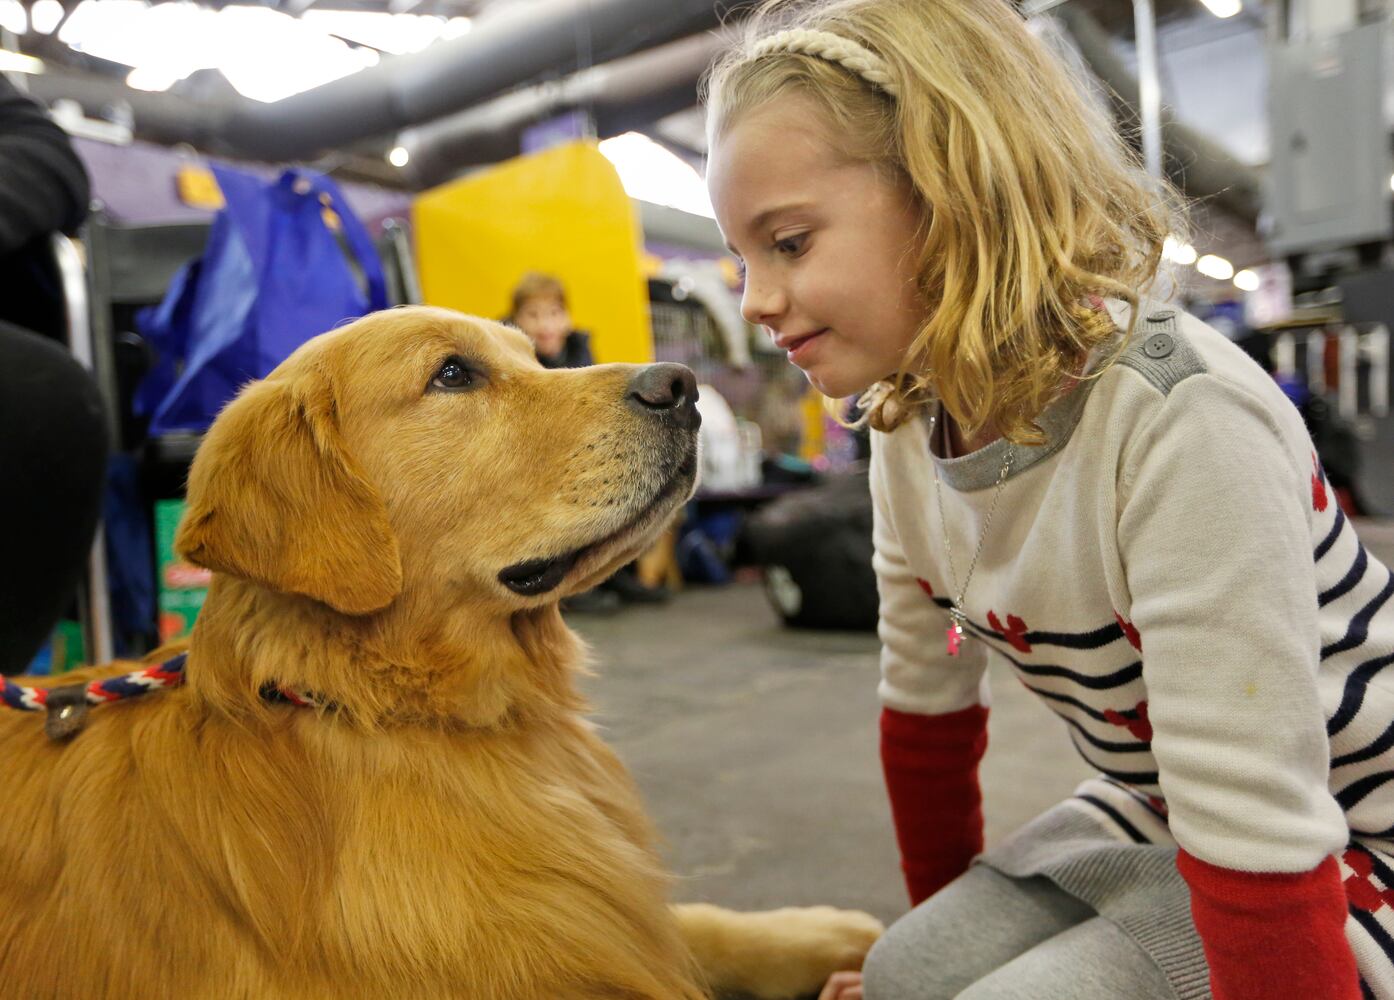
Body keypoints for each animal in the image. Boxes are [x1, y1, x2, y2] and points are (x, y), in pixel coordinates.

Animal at [0, 306, 881, 998]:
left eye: (534, 356)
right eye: (453, 374)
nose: (683, 386)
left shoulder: (594, 909)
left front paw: (821, 932)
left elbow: (680, 921)